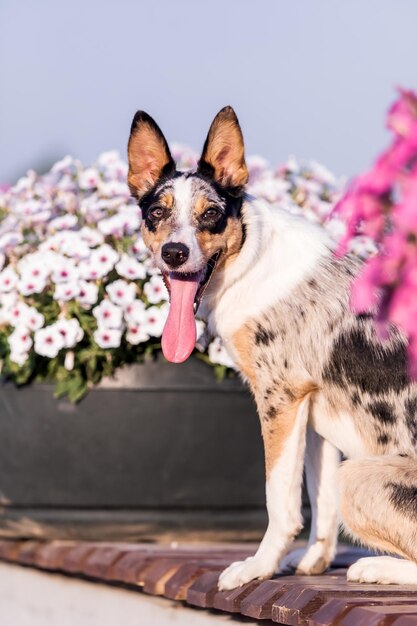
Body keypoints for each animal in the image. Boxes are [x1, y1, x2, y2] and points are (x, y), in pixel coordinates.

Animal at [125, 105, 416, 588]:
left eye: (211, 213)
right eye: (157, 213)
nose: (174, 253)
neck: (250, 259)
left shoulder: (281, 397)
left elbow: (279, 500)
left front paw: (258, 567)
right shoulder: (312, 408)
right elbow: (319, 498)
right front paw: (314, 560)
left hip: (357, 475)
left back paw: (376, 567)